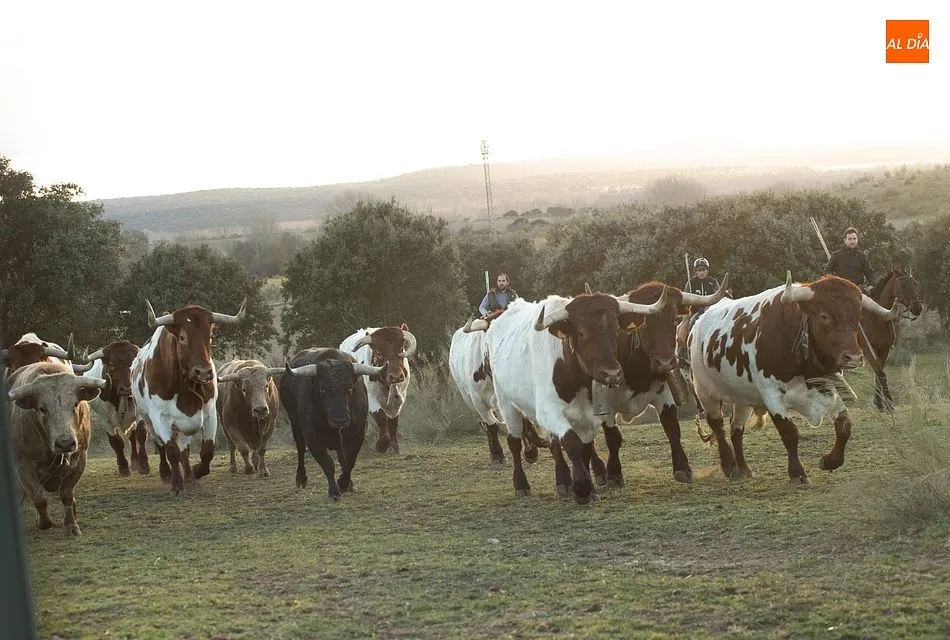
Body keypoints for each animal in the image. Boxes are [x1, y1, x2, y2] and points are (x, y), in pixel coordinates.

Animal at [858, 266, 923, 411]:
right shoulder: (868, 350)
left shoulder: (884, 350)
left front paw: (880, 403)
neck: (877, 318)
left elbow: (879, 375)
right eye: (902, 284)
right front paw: (888, 402)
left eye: (915, 283)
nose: (917, 308)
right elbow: (881, 374)